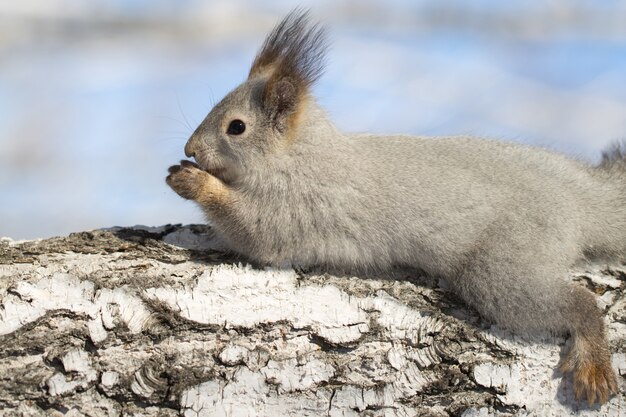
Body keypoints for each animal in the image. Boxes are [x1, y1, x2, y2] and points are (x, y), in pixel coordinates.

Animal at [168, 8, 620, 404]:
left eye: (236, 127)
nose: (190, 149)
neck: (301, 156)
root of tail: (579, 200)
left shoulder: (300, 206)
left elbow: (254, 231)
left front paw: (195, 182)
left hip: (505, 265)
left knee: (577, 301)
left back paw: (594, 361)